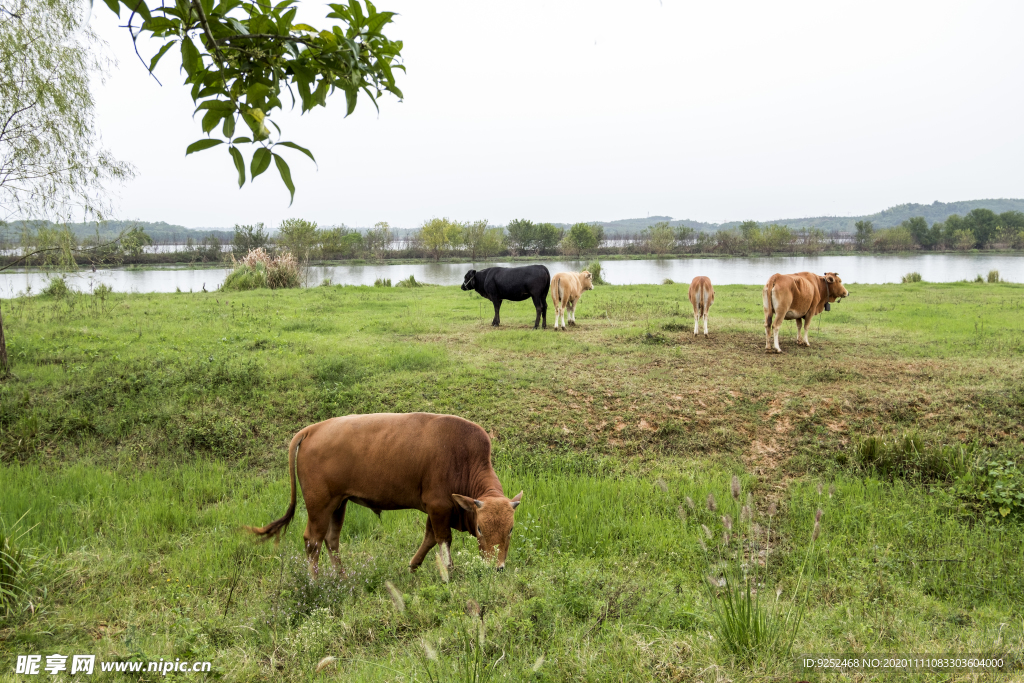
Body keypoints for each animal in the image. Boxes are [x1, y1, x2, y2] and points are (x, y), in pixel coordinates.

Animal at [245, 413, 520, 573]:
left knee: (331, 540)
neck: (462, 458)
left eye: (510, 529)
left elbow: (429, 538)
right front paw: (448, 575)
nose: (497, 567)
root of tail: (311, 430)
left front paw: (413, 566)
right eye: (480, 528)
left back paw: (341, 578)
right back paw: (315, 582)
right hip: (319, 507)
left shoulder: (436, 512)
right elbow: (443, 543)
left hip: (338, 504)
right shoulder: (439, 508)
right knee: (313, 542)